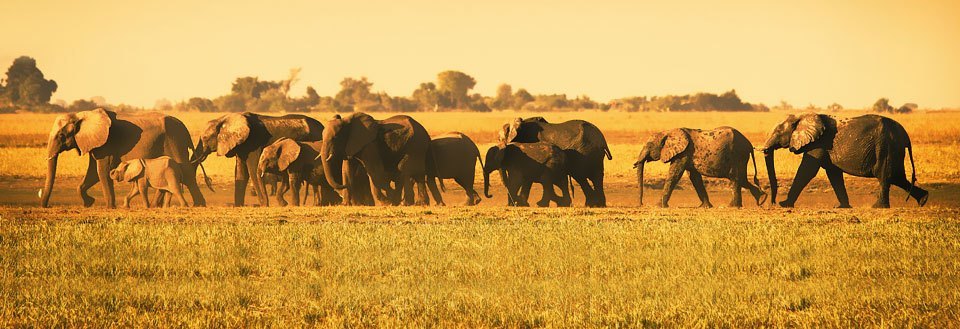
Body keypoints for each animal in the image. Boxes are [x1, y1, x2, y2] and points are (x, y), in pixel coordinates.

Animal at [40, 107, 208, 208]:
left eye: (61, 136)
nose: (46, 205)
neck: (82, 114)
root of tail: (184, 127)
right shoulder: (95, 142)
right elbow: (93, 172)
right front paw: (89, 203)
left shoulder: (107, 142)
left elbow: (102, 171)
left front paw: (110, 207)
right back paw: (157, 206)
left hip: (174, 140)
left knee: (186, 172)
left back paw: (199, 205)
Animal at [192, 111, 326, 206]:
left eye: (205, 138)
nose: (209, 182)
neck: (224, 118)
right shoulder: (241, 145)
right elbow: (241, 173)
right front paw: (239, 206)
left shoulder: (253, 143)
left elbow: (252, 169)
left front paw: (263, 205)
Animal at [632, 126, 768, 208]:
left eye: (649, 145)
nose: (641, 204)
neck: (668, 132)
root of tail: (749, 144)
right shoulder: (687, 155)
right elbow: (695, 177)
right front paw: (706, 207)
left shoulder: (684, 153)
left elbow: (674, 174)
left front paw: (658, 206)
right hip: (741, 157)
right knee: (741, 179)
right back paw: (760, 197)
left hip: (737, 154)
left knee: (735, 178)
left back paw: (733, 206)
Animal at [760, 111, 928, 206]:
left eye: (778, 131)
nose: (773, 203)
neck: (802, 116)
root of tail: (905, 135)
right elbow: (833, 173)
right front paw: (842, 207)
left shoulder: (818, 143)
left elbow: (807, 170)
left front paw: (785, 204)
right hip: (894, 149)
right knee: (897, 177)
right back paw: (923, 200)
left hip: (886, 146)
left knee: (885, 176)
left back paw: (878, 207)